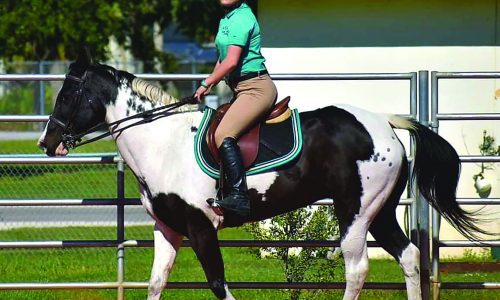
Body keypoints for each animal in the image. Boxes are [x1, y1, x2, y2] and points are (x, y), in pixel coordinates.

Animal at [37, 49, 482, 300]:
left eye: (68, 93)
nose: (47, 141)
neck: (161, 143)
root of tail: (384, 123)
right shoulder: (169, 229)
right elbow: (156, 284)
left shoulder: (201, 227)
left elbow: (218, 284)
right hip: (381, 211)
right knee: (408, 256)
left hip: (354, 212)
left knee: (356, 271)